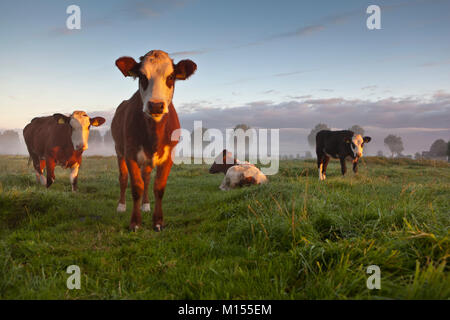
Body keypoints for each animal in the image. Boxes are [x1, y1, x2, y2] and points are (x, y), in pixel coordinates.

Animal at [111, 48, 196, 231]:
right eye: (142, 76)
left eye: (171, 77)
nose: (156, 105)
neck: (154, 135)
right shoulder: (130, 153)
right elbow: (136, 186)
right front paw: (135, 222)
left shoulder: (169, 155)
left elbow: (159, 187)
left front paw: (158, 221)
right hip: (118, 150)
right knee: (123, 178)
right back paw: (121, 206)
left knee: (147, 177)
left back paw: (146, 204)